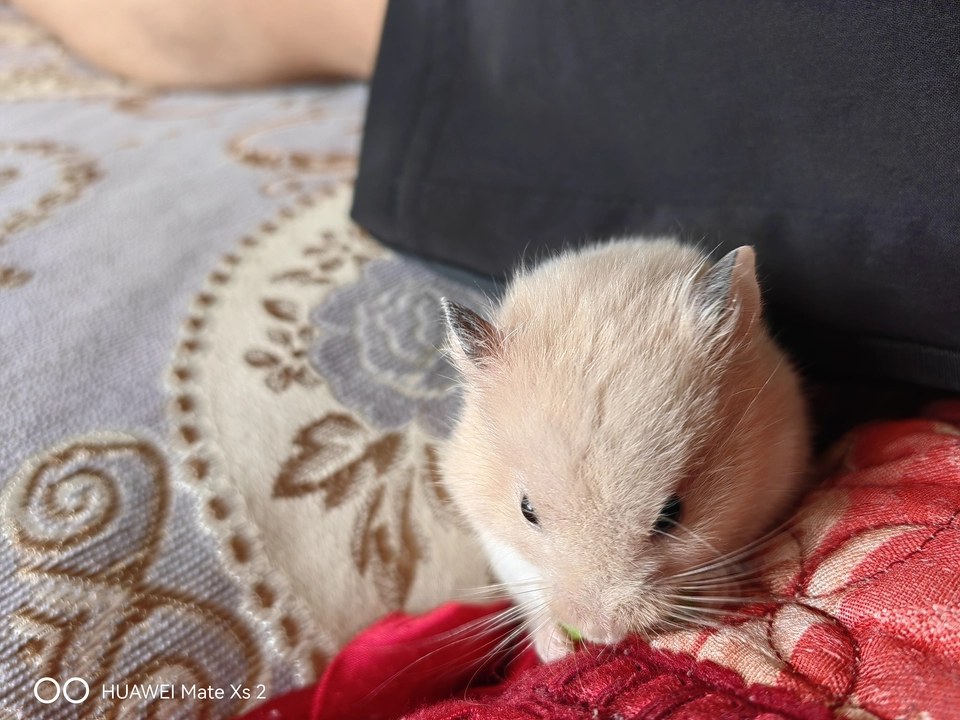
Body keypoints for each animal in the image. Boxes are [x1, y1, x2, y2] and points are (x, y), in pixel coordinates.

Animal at [439, 239, 809, 661]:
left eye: (672, 514)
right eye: (526, 511)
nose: (602, 635)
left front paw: (719, 593)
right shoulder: (487, 523)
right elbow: (525, 583)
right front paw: (557, 651)